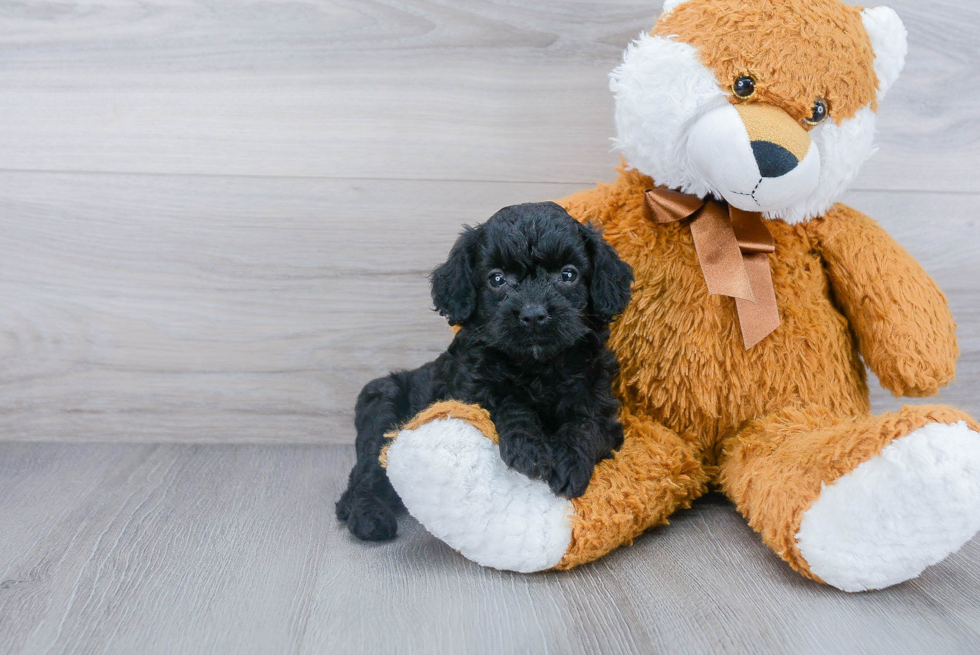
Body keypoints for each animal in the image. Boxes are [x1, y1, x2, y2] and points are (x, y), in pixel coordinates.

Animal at [336, 202, 632, 540]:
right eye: (497, 279)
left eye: (568, 275)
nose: (533, 314)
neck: (538, 366)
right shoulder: (470, 392)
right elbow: (508, 403)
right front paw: (529, 449)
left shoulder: (602, 408)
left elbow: (584, 425)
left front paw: (568, 461)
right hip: (382, 405)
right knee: (367, 473)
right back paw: (369, 517)